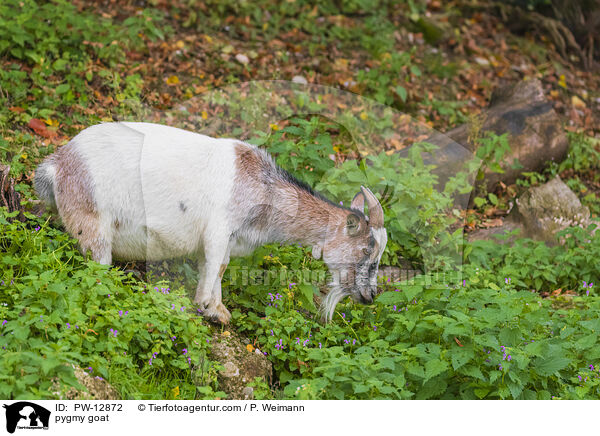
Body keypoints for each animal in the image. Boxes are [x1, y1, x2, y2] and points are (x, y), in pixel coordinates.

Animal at [35, 122, 386, 324]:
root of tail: (59, 163)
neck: (264, 187)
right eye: (367, 251)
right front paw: (207, 306)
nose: (369, 297)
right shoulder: (219, 230)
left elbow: (216, 267)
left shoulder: (225, 240)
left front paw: (217, 309)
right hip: (92, 223)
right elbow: (218, 266)